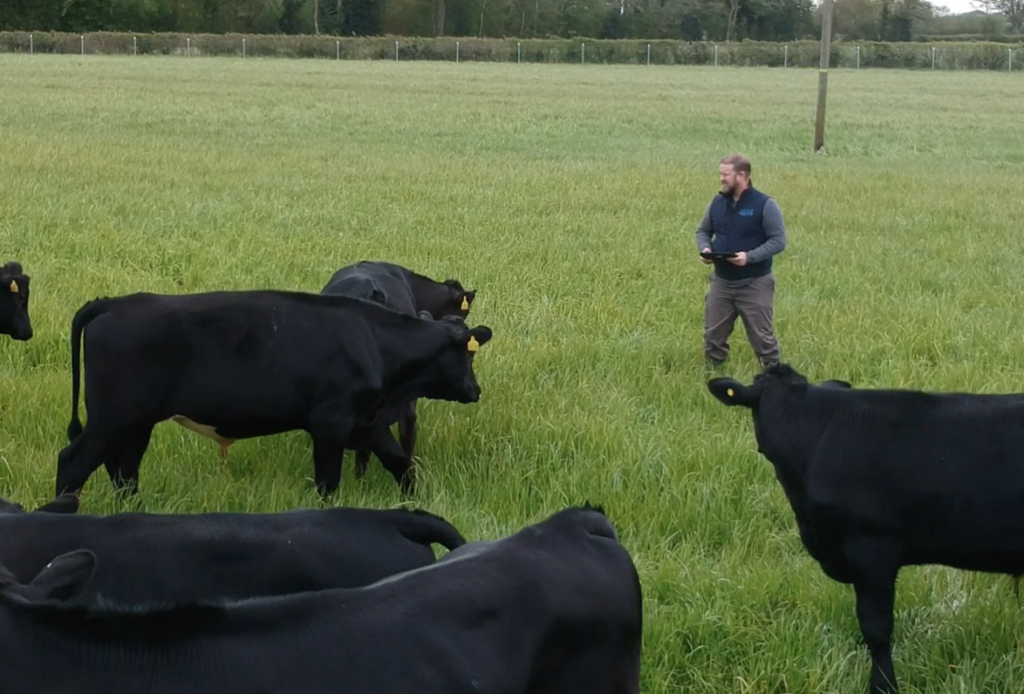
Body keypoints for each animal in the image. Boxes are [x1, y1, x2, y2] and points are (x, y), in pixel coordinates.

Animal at [56, 289, 493, 499]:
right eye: (469, 355)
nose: (475, 390)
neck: (374, 341)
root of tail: (113, 303)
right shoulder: (331, 421)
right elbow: (327, 481)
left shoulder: (365, 421)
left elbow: (401, 464)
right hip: (113, 416)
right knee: (74, 462)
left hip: (136, 422)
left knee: (124, 470)